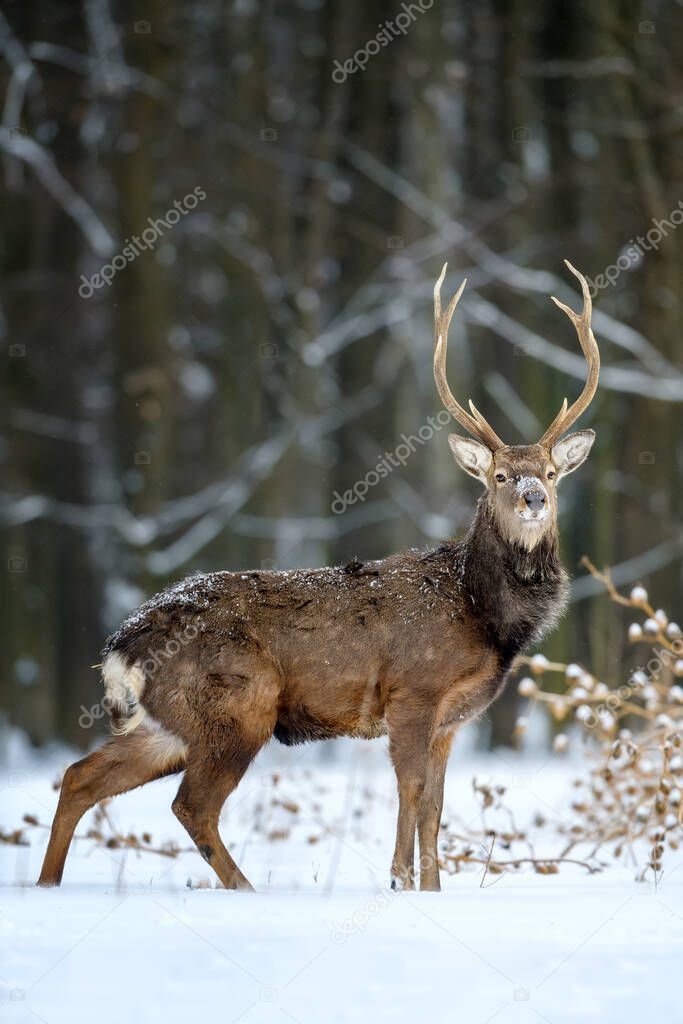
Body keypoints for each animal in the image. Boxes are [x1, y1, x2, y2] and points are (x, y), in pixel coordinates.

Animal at [40, 260, 602, 892]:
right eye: (501, 475)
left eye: (551, 472)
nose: (534, 498)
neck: (479, 612)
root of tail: (119, 646)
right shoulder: (413, 692)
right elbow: (411, 793)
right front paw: (400, 883)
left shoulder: (453, 720)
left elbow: (435, 806)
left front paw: (432, 889)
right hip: (238, 704)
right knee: (192, 805)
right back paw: (246, 890)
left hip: (168, 723)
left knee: (80, 776)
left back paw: (48, 885)